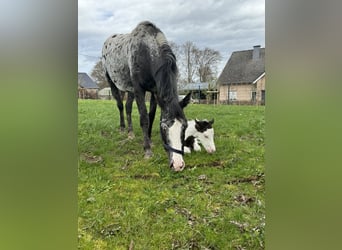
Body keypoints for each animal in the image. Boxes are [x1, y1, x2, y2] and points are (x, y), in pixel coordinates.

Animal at [101, 20, 192, 171]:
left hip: (130, 90)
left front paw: (149, 140)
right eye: (164, 127)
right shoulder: (139, 89)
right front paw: (147, 150)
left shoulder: (155, 91)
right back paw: (122, 128)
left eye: (184, 126)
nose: (178, 165)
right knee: (120, 106)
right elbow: (144, 118)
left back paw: (130, 133)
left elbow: (152, 116)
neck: (146, 52)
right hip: (113, 83)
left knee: (128, 107)